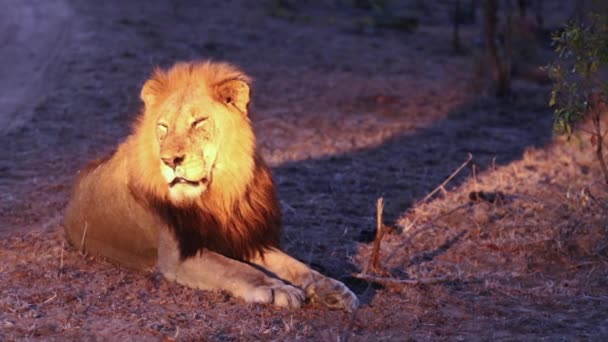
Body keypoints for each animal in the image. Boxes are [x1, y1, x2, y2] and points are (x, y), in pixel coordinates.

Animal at [64, 60, 358, 312]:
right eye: (163, 126)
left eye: (198, 122)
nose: (170, 160)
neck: (215, 195)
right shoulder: (176, 255)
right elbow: (235, 269)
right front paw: (278, 289)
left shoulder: (241, 239)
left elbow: (294, 265)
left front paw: (332, 289)